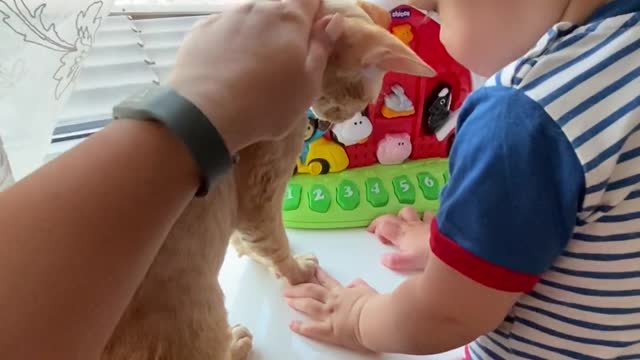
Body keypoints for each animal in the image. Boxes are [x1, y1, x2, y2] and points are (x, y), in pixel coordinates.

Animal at [102, 1, 432, 358]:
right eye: (361, 102)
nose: (335, 122)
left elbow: (248, 240)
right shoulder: (261, 194)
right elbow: (274, 242)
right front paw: (296, 272)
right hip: (200, 311)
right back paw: (236, 344)